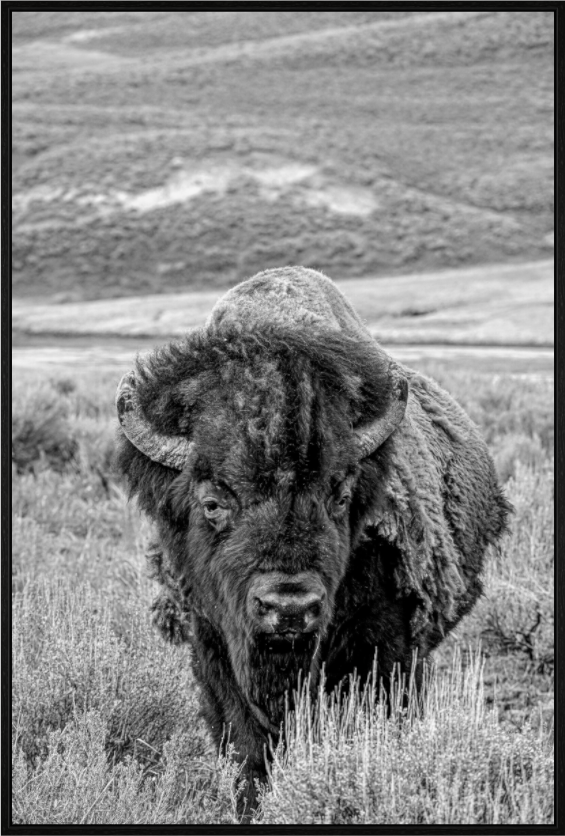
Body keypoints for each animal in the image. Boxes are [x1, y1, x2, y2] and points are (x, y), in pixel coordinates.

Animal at [116, 266, 510, 817]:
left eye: (340, 495)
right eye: (213, 502)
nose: (289, 607)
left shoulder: (385, 654)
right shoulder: (213, 649)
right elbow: (247, 749)